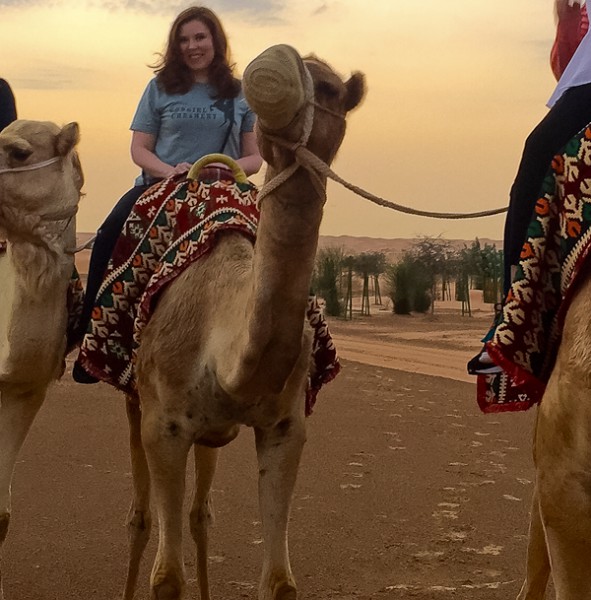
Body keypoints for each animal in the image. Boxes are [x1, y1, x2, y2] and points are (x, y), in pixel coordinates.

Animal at [121, 43, 366, 600]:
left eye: (330, 89)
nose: (273, 74)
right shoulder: (163, 425)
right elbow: (166, 578)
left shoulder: (285, 427)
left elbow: (280, 581)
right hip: (134, 398)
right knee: (140, 516)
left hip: (208, 431)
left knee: (200, 513)